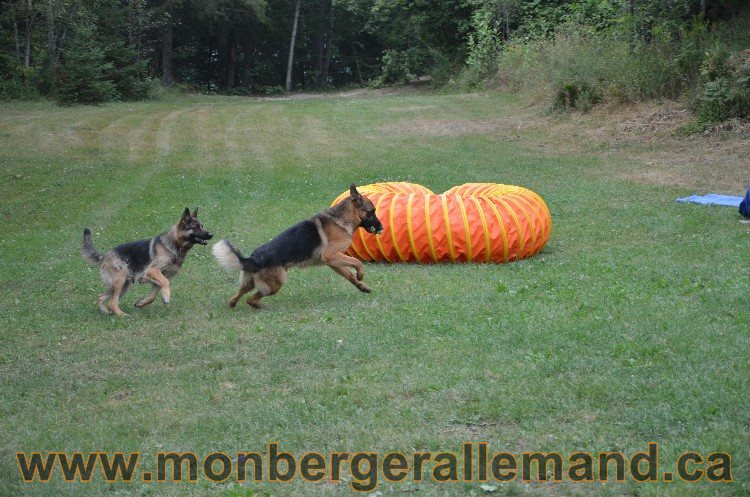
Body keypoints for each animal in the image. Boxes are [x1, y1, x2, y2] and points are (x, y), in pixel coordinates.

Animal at [81, 207, 213, 316]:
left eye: (202, 225)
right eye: (196, 226)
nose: (212, 234)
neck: (174, 244)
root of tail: (105, 256)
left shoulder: (157, 280)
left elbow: (152, 297)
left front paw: (141, 303)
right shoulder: (153, 271)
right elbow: (165, 283)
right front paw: (166, 296)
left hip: (123, 286)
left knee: (100, 297)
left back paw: (105, 312)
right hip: (120, 281)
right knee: (112, 303)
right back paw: (122, 315)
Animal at [213, 184, 384, 308]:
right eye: (372, 211)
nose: (382, 228)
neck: (342, 218)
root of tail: (253, 259)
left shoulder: (333, 261)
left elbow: (349, 275)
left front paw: (362, 286)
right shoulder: (332, 256)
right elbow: (357, 262)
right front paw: (360, 274)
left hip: (249, 283)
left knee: (237, 296)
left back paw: (235, 304)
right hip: (276, 284)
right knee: (251, 299)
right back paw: (261, 306)